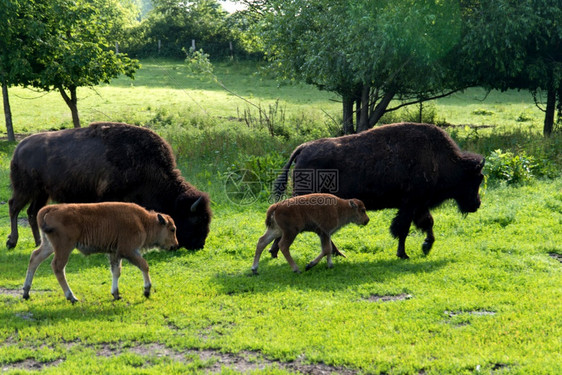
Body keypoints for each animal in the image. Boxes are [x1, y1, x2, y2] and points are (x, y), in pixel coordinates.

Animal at [7, 122, 210, 251]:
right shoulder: (110, 197)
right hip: (25, 189)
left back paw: (37, 242)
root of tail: (19, 148)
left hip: (41, 193)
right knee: (14, 207)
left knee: (32, 213)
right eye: (196, 220)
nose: (199, 245)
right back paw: (12, 242)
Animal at [22, 203, 177, 302]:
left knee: (35, 258)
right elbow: (144, 265)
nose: (175, 245)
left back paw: (26, 293)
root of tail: (50, 208)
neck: (143, 222)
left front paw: (116, 294)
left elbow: (116, 271)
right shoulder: (128, 251)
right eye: (172, 229)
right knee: (58, 267)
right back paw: (71, 297)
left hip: (48, 245)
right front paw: (147, 290)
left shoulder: (115, 253)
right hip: (64, 247)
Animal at [272, 122, 482, 260]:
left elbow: (427, 223)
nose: (476, 204)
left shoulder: (419, 205)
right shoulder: (411, 205)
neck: (440, 159)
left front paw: (425, 247)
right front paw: (404, 254)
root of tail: (303, 147)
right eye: (476, 179)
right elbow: (403, 229)